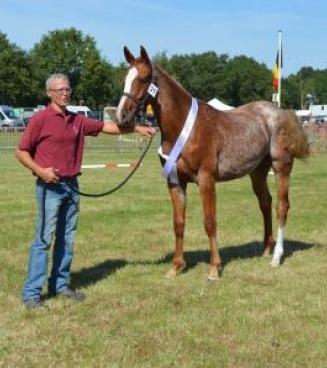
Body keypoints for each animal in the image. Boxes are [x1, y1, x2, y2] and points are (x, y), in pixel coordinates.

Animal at [117, 47, 310, 280]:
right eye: (125, 79)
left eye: (144, 79)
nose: (122, 116)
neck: (185, 128)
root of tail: (282, 112)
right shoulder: (175, 182)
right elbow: (178, 223)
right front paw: (176, 266)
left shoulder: (206, 179)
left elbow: (210, 222)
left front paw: (214, 268)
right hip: (257, 173)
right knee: (265, 203)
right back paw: (266, 249)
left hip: (281, 167)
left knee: (282, 206)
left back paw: (276, 257)